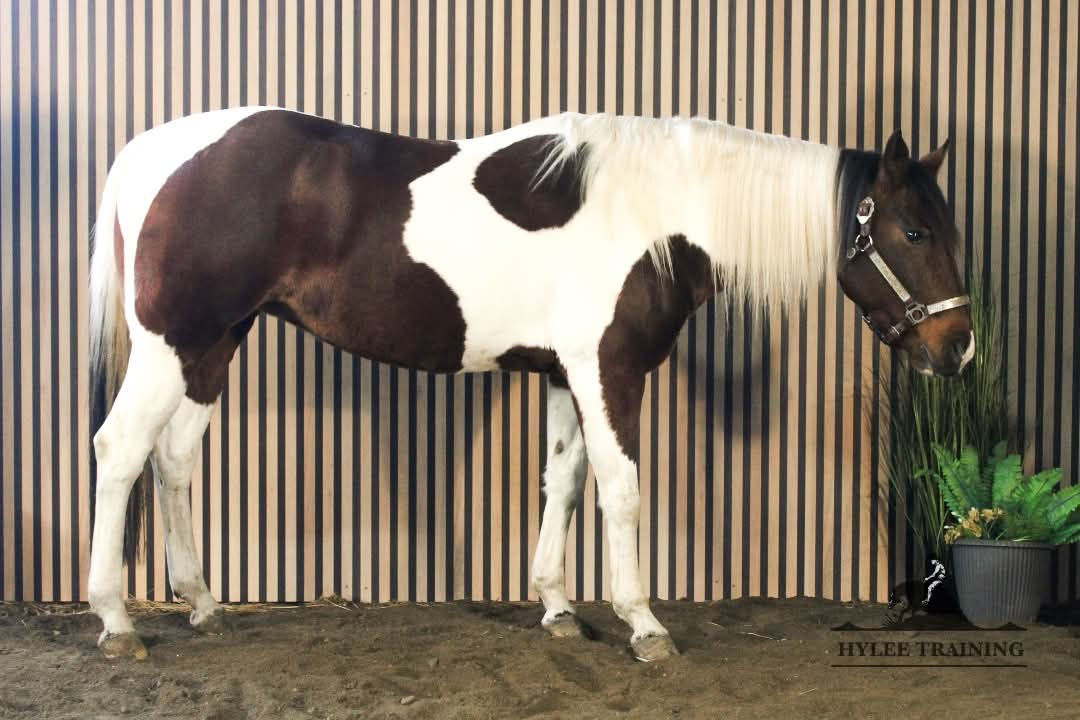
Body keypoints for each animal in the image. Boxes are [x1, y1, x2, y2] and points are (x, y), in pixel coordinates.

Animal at [87, 108, 973, 662]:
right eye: (913, 231)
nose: (959, 349)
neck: (658, 212)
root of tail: (147, 153)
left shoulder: (563, 373)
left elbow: (564, 483)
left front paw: (556, 608)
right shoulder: (609, 370)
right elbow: (621, 490)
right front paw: (643, 625)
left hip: (212, 347)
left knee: (173, 461)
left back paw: (201, 604)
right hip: (172, 346)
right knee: (120, 450)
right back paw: (116, 620)